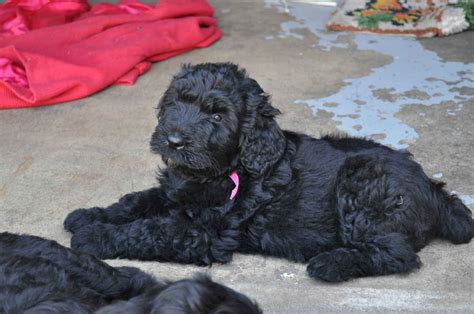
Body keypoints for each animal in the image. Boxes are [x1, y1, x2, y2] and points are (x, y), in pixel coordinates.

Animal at [64, 62, 474, 282]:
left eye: (218, 116)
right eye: (176, 103)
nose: (174, 140)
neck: (223, 169)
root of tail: (435, 191)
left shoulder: (206, 233)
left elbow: (150, 229)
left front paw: (95, 236)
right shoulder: (174, 192)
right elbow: (137, 201)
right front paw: (88, 215)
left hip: (363, 184)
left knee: (398, 254)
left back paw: (331, 263)